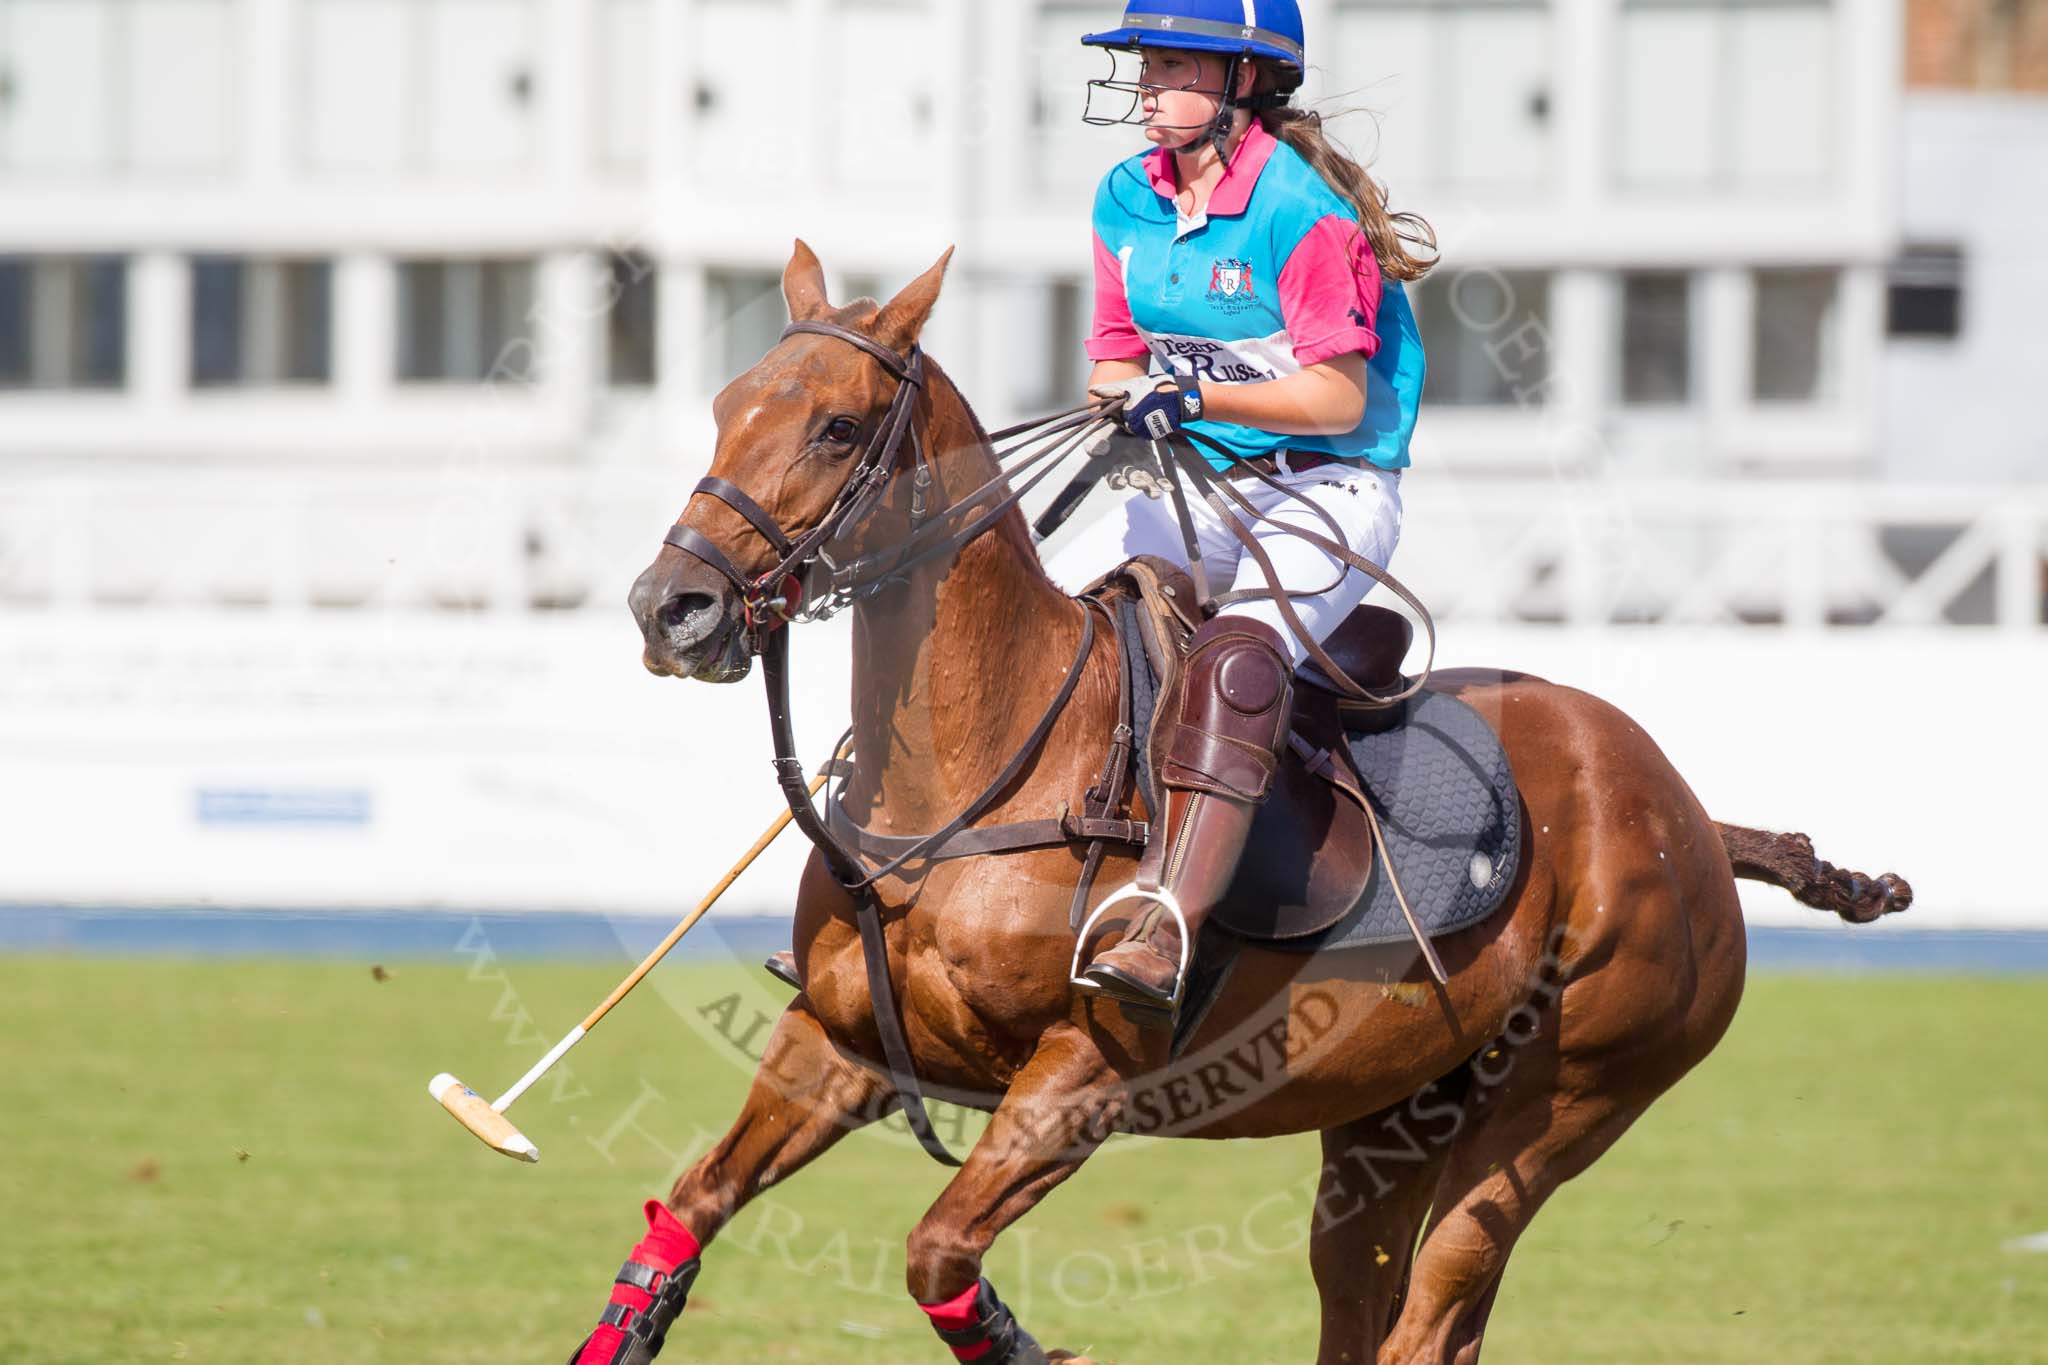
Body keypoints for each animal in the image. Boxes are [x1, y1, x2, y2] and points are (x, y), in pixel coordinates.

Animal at [598, 245, 1908, 1365]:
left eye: (837, 426)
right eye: (724, 404)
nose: (671, 608)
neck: (969, 775)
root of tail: (1687, 819)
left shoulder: (1083, 1074)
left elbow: (937, 1255)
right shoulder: (837, 1044)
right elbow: (687, 1212)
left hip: (1567, 1099)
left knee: (1433, 1311)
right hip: (1390, 1117)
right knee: (1367, 1307)